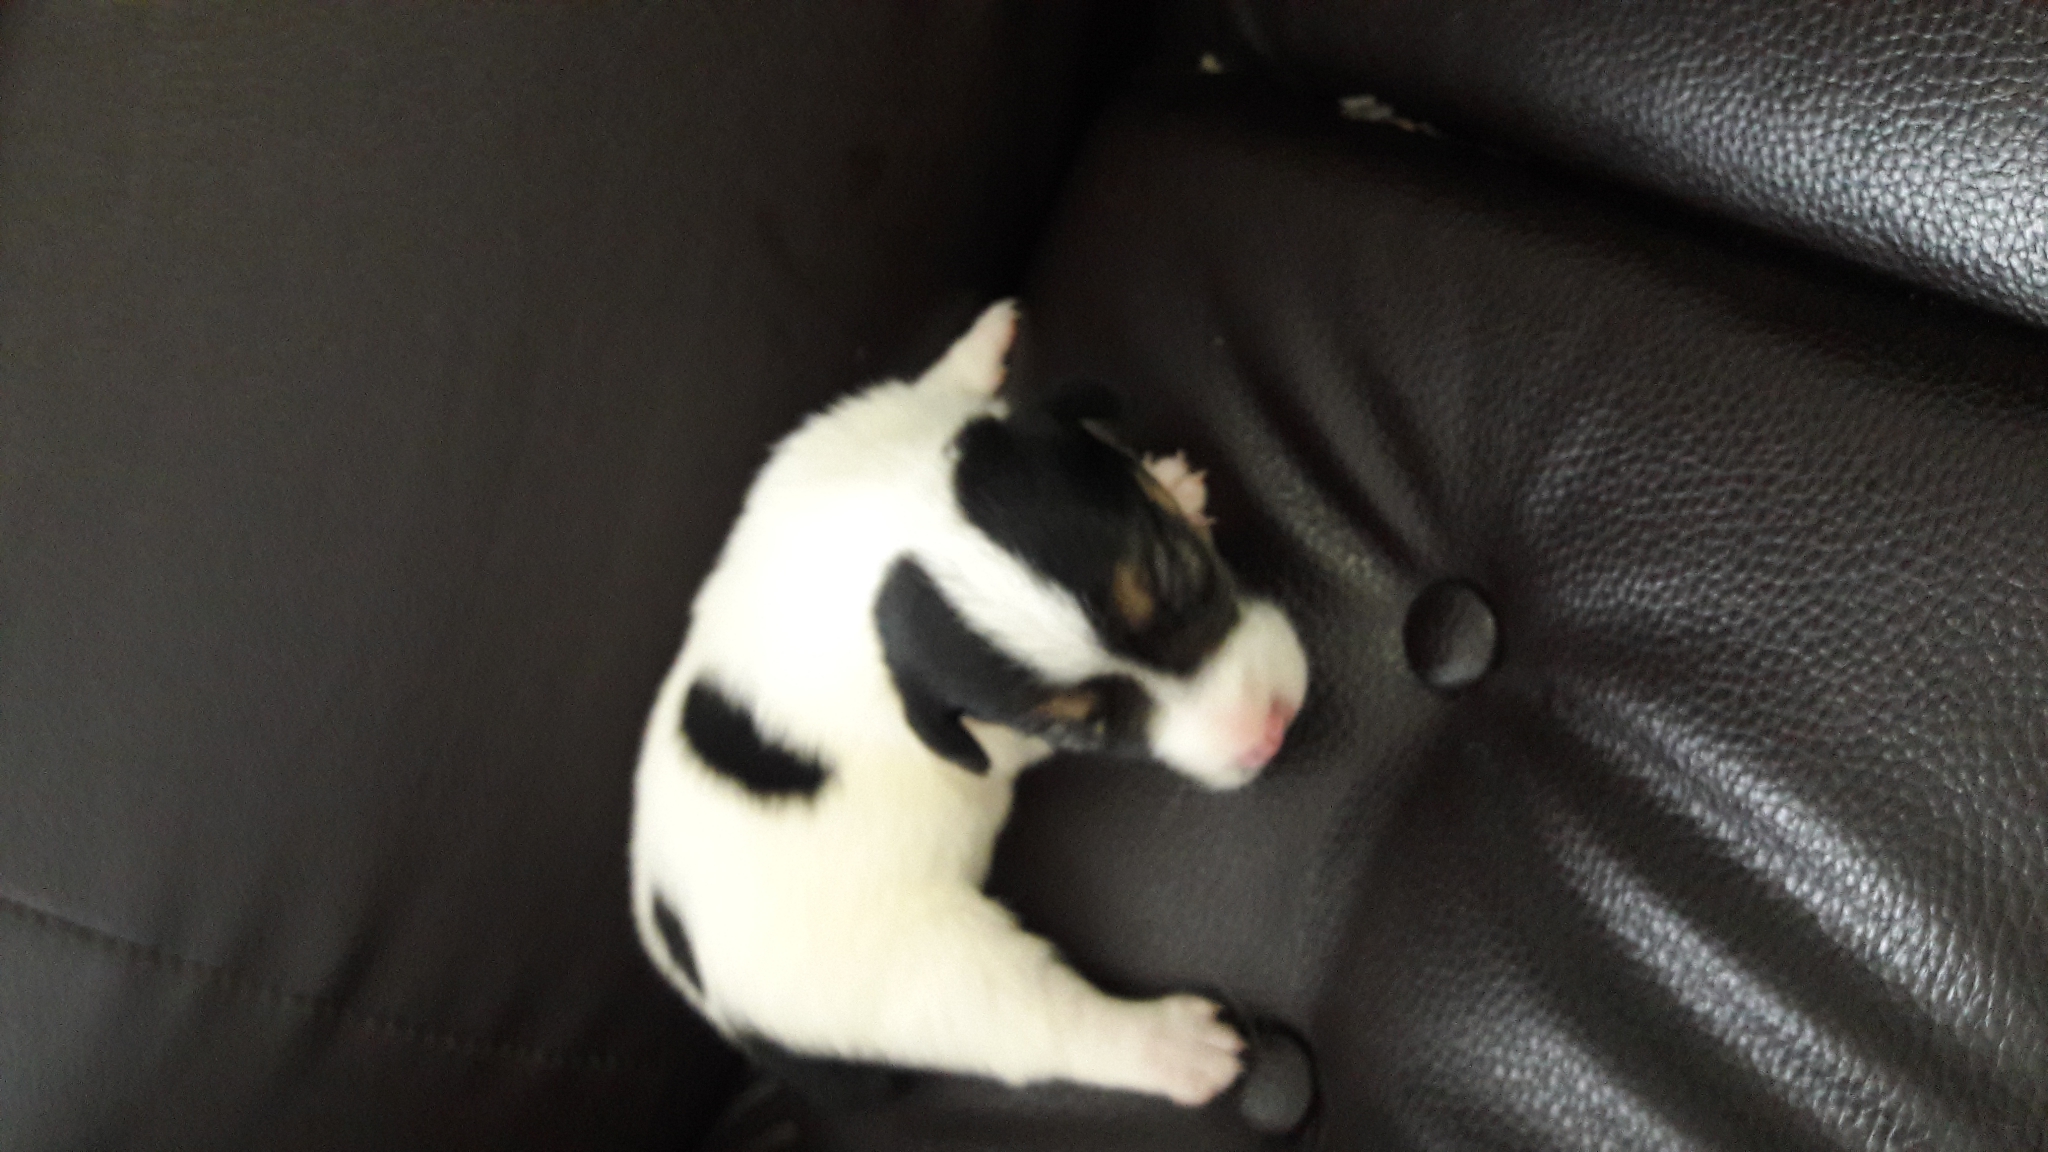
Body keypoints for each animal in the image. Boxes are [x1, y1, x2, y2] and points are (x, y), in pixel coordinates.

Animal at [628, 301, 1308, 1107]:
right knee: (1047, 1029)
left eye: (1177, 573)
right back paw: (1175, 1049)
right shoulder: (990, 738)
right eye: (1082, 727)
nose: (1267, 734)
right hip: (933, 978)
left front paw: (987, 347)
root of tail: (724, 1013)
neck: (881, 521)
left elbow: (945, 384)